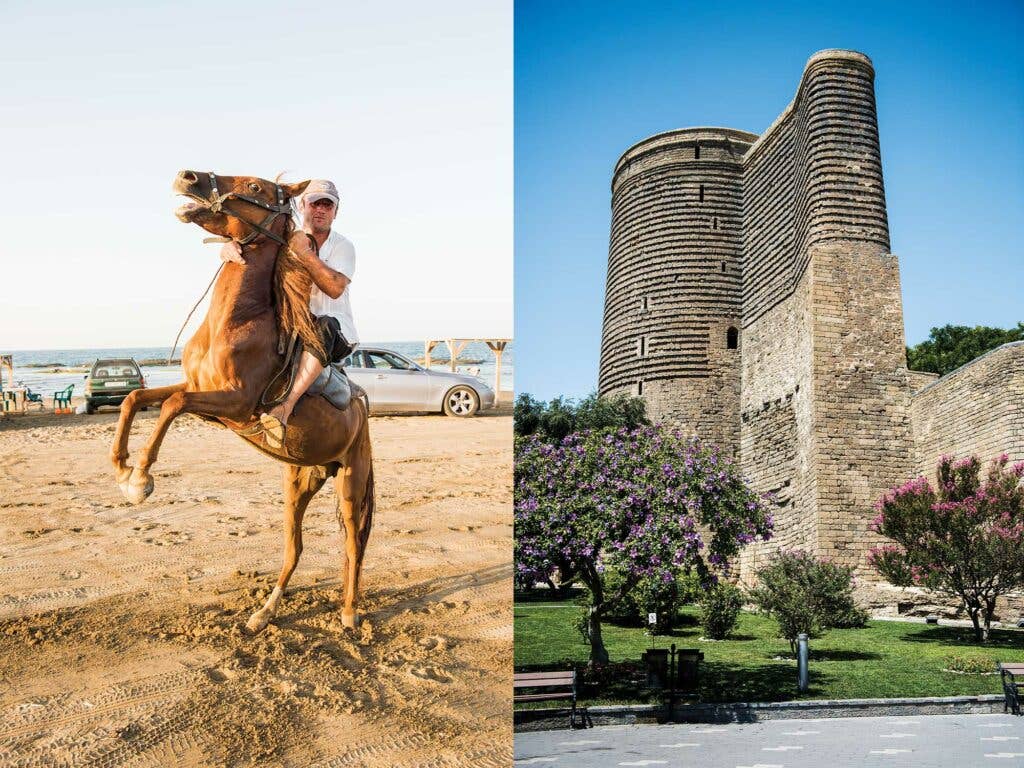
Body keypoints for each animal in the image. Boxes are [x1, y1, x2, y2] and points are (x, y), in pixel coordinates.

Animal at [112, 171, 376, 634]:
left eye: (255, 187)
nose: (187, 176)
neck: (237, 322)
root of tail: (360, 408)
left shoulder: (235, 405)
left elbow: (172, 404)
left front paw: (141, 479)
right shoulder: (202, 392)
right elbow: (138, 397)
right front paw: (123, 469)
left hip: (350, 481)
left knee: (351, 544)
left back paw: (349, 612)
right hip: (299, 482)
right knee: (295, 547)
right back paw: (264, 612)